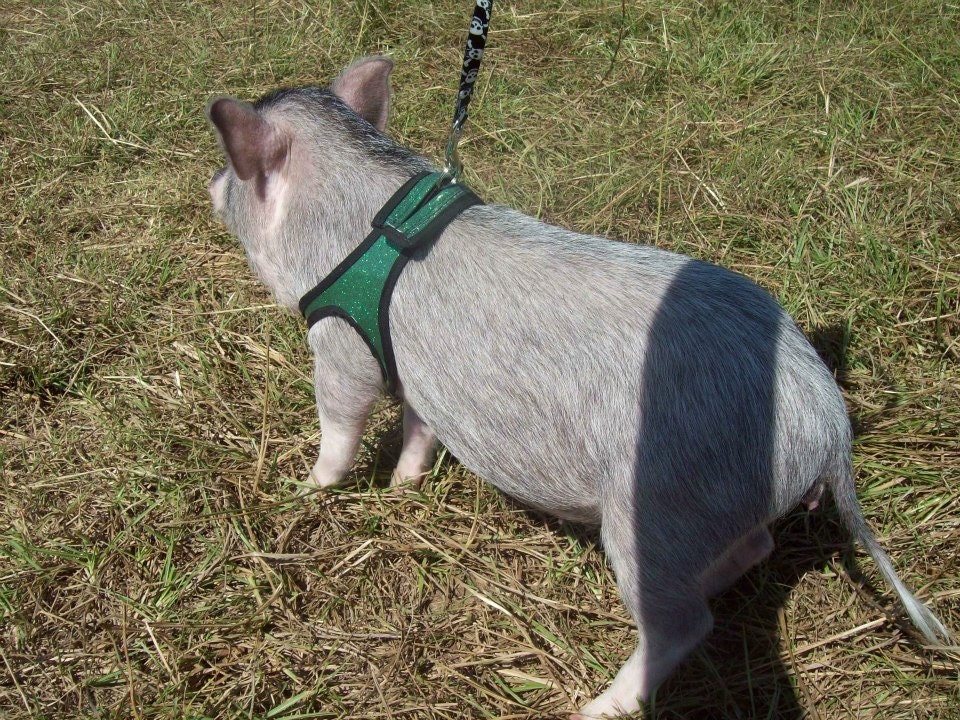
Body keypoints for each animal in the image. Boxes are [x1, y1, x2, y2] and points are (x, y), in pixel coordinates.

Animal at [206, 56, 951, 718]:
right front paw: (402, 489)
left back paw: (594, 707)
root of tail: (829, 419)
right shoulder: (420, 376)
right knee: (753, 550)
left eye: (234, 168)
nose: (209, 184)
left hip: (658, 507)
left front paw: (305, 489)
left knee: (684, 624)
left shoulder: (342, 346)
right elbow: (419, 430)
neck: (351, 222)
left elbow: (340, 422)